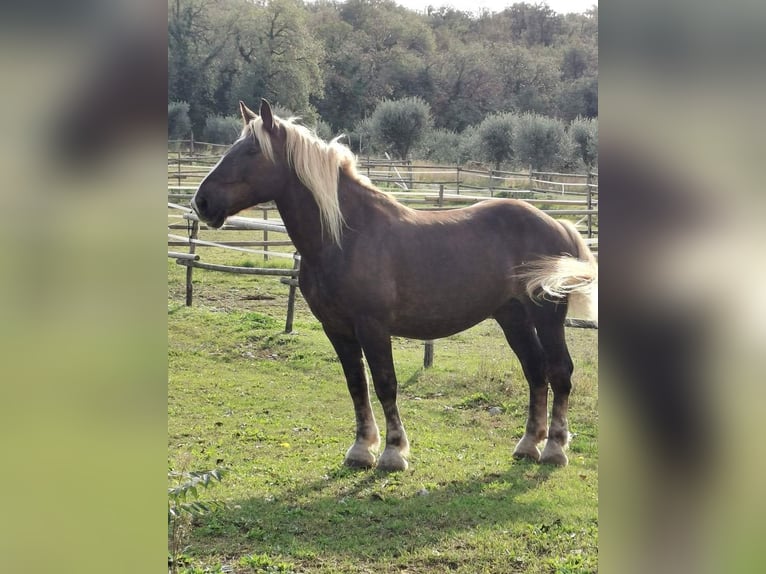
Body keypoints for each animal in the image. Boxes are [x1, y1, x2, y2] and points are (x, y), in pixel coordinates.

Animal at [192, 99, 600, 472]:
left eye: (251, 151)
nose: (202, 202)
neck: (346, 235)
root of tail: (559, 225)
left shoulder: (373, 327)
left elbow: (385, 383)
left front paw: (392, 452)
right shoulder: (336, 328)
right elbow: (356, 385)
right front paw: (361, 449)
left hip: (546, 317)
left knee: (560, 371)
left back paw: (554, 449)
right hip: (512, 316)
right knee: (535, 371)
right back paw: (528, 444)